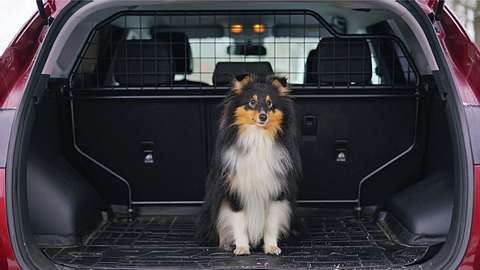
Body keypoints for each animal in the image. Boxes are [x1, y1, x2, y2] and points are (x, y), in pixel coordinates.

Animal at [195, 74, 300, 255]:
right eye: (252, 102)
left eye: (270, 103)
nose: (263, 117)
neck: (258, 137)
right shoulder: (235, 191)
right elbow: (239, 223)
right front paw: (242, 248)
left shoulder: (276, 191)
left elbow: (271, 223)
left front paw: (271, 247)